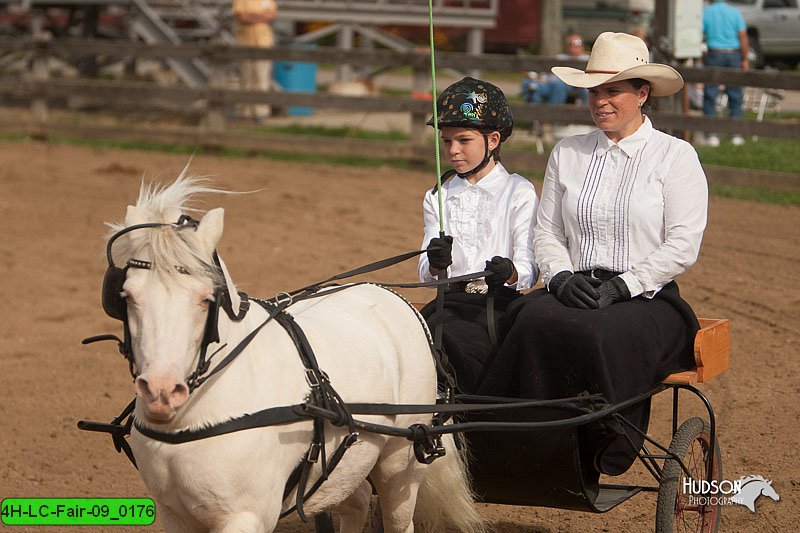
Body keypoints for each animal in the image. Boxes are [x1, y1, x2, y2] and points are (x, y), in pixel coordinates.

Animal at [105, 176, 482, 532]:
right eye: (126, 296)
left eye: (205, 298)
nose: (161, 391)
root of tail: (392, 296)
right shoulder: (175, 515)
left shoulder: (246, 517)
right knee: (357, 500)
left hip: (400, 461)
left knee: (398, 516)